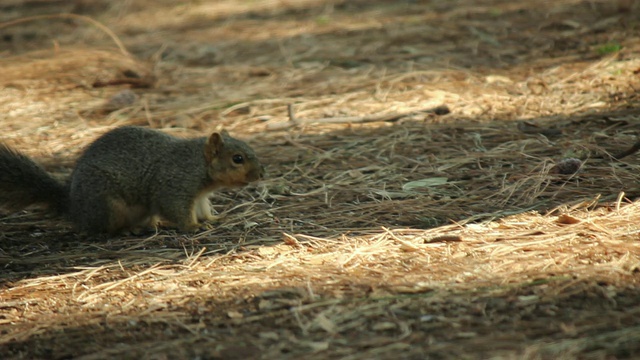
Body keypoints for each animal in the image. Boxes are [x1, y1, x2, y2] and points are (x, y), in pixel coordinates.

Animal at [0, 126, 262, 233]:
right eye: (237, 159)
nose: (262, 174)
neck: (197, 164)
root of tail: (74, 207)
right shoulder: (174, 186)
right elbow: (176, 210)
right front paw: (193, 227)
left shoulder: (199, 196)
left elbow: (202, 208)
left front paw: (212, 219)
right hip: (107, 204)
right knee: (103, 229)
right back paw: (128, 231)